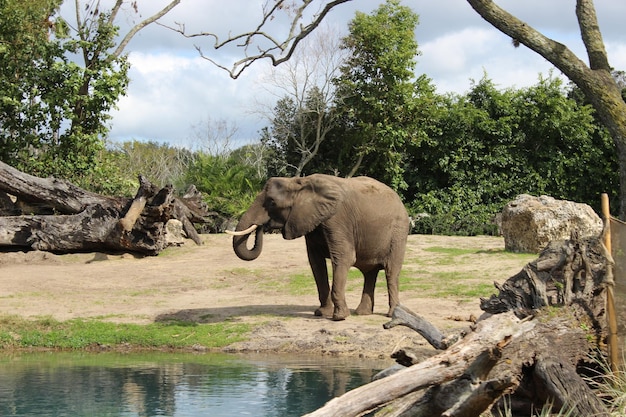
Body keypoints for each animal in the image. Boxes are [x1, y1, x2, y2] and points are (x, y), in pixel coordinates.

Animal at [225, 174, 410, 320]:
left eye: (271, 203)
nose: (261, 227)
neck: (299, 183)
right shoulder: (310, 221)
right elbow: (316, 262)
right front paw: (321, 313)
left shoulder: (337, 218)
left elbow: (344, 257)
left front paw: (339, 317)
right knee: (369, 273)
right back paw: (362, 313)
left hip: (399, 231)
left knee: (391, 271)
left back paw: (391, 314)